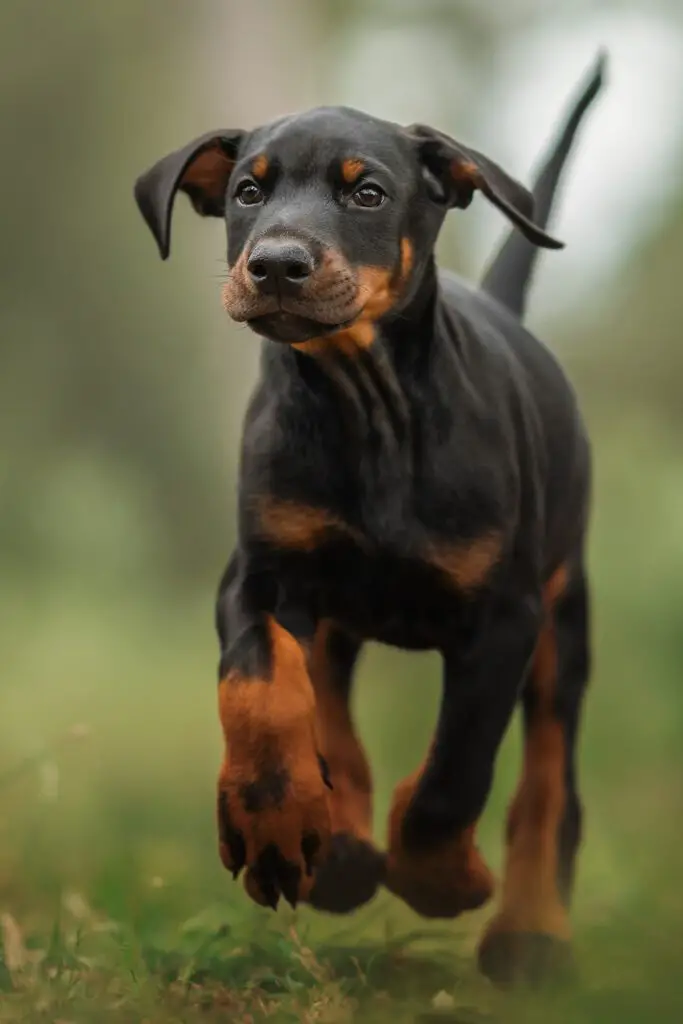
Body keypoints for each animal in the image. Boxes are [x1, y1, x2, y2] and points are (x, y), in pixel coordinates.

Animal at [136, 54, 606, 983]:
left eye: (367, 194)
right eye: (248, 191)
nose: (276, 265)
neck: (367, 407)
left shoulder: (504, 617)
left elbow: (454, 772)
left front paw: (440, 880)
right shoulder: (258, 577)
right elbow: (260, 690)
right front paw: (274, 827)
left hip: (562, 614)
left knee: (548, 780)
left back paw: (528, 933)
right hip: (333, 611)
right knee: (326, 706)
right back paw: (341, 849)